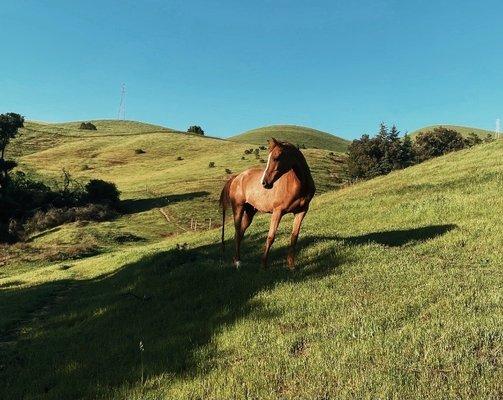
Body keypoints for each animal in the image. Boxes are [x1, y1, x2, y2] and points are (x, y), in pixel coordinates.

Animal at [220, 137, 316, 268]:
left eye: (276, 157)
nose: (264, 183)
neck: (298, 185)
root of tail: (237, 177)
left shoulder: (302, 211)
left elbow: (294, 237)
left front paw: (291, 265)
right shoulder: (277, 212)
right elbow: (271, 237)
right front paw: (264, 265)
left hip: (250, 212)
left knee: (239, 234)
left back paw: (236, 259)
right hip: (238, 208)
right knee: (237, 233)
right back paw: (238, 262)